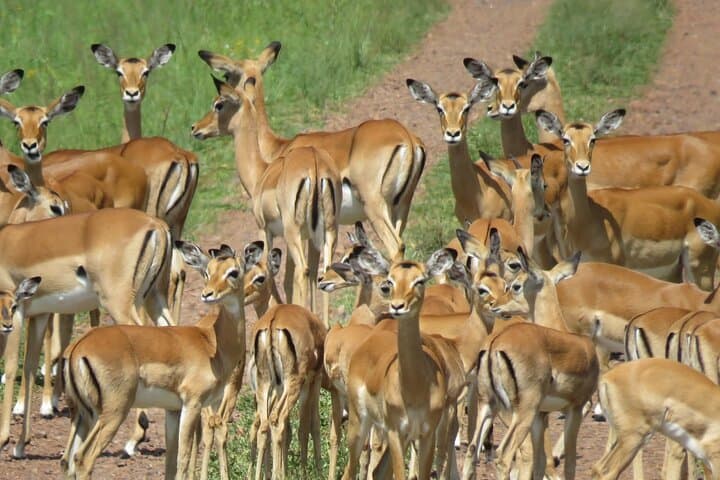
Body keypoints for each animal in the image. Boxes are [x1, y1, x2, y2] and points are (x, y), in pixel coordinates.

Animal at [61, 240, 262, 480]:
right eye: (208, 272)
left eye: (233, 272)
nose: (207, 294)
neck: (212, 344)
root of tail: (78, 348)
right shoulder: (192, 404)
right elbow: (183, 461)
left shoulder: (173, 410)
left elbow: (171, 463)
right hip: (113, 412)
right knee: (83, 459)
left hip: (83, 415)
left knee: (67, 460)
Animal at [192, 76, 340, 327]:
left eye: (218, 104)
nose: (195, 128)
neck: (261, 172)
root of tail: (315, 165)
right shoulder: (307, 237)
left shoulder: (264, 230)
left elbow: (267, 270)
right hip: (329, 229)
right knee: (324, 270)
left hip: (293, 231)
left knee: (303, 271)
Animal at [197, 41, 426, 258]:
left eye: (227, 75)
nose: (196, 128)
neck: (276, 150)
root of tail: (407, 138)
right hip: (400, 209)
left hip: (374, 207)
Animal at [536, 108, 720, 290]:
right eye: (566, 139)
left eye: (593, 139)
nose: (582, 167)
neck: (588, 220)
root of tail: (708, 205)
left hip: (700, 270)